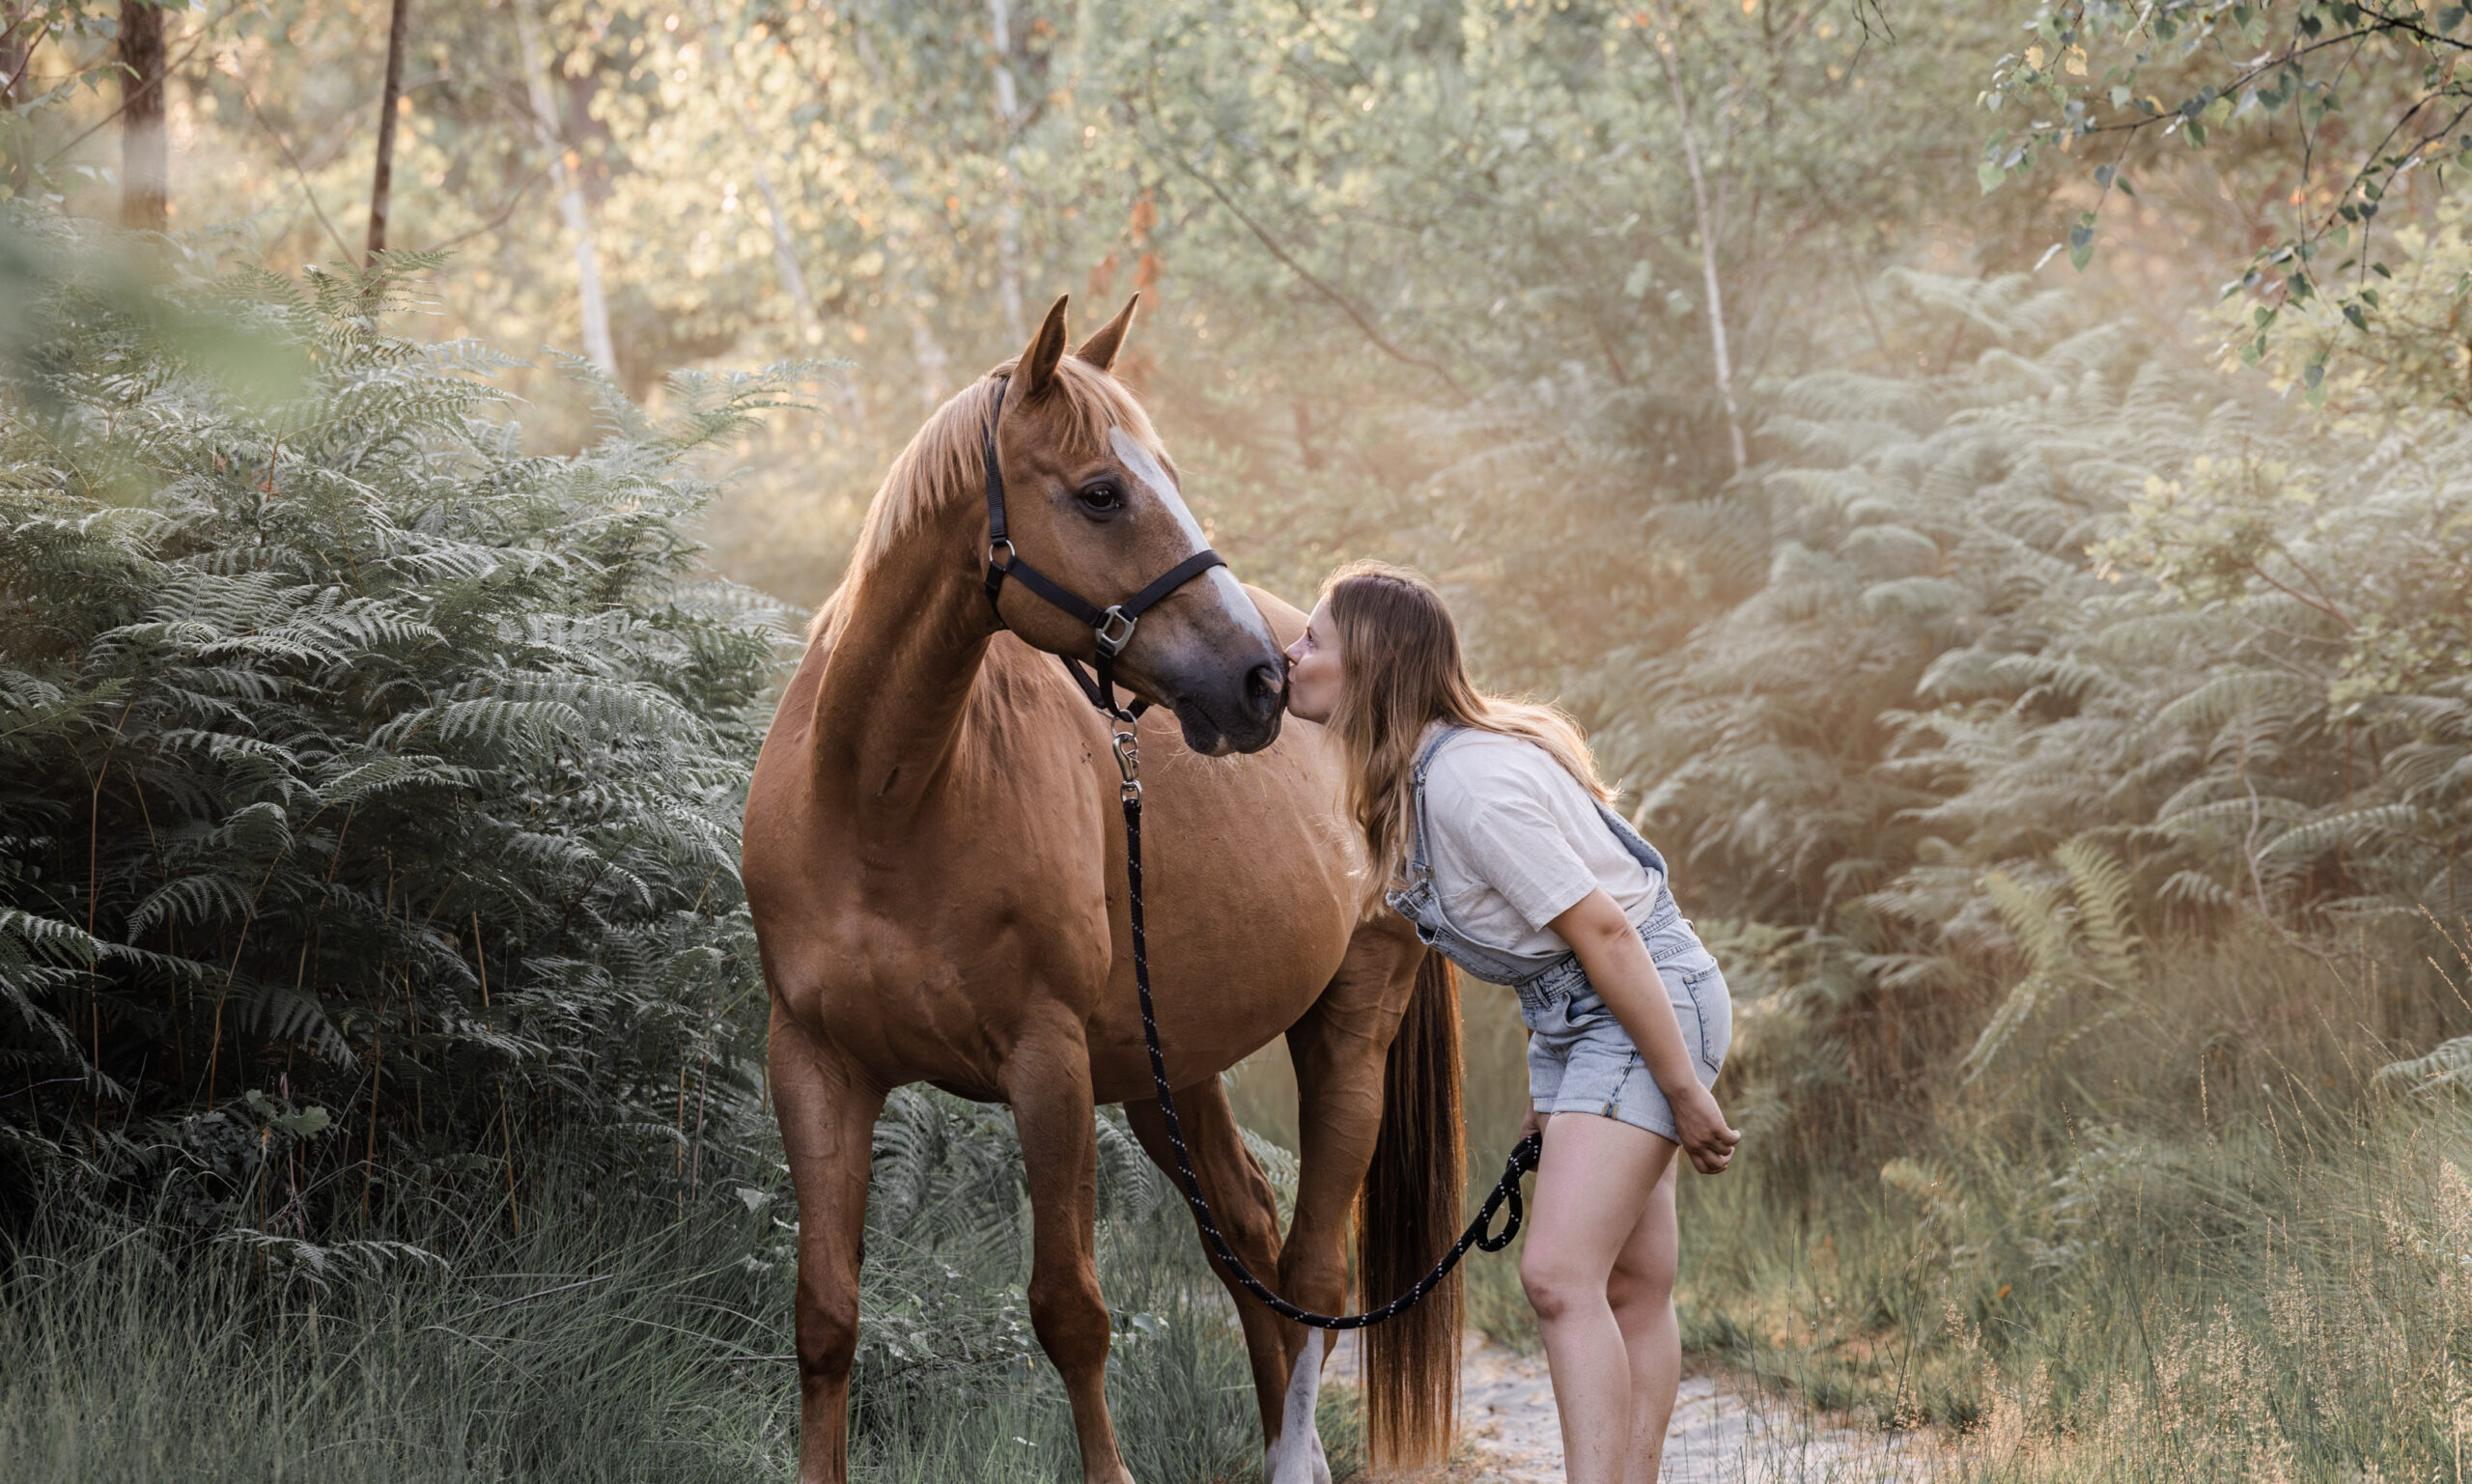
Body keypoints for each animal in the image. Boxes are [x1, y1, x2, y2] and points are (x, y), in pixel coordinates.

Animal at [736, 293, 1463, 1484]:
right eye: (1101, 492)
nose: (1260, 681)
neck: (884, 800)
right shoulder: (815, 1065)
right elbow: (824, 1314)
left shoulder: (1050, 1065)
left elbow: (1070, 1310)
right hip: (1169, 1065)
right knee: (1247, 1233)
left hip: (1347, 1023)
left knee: (1311, 1269)